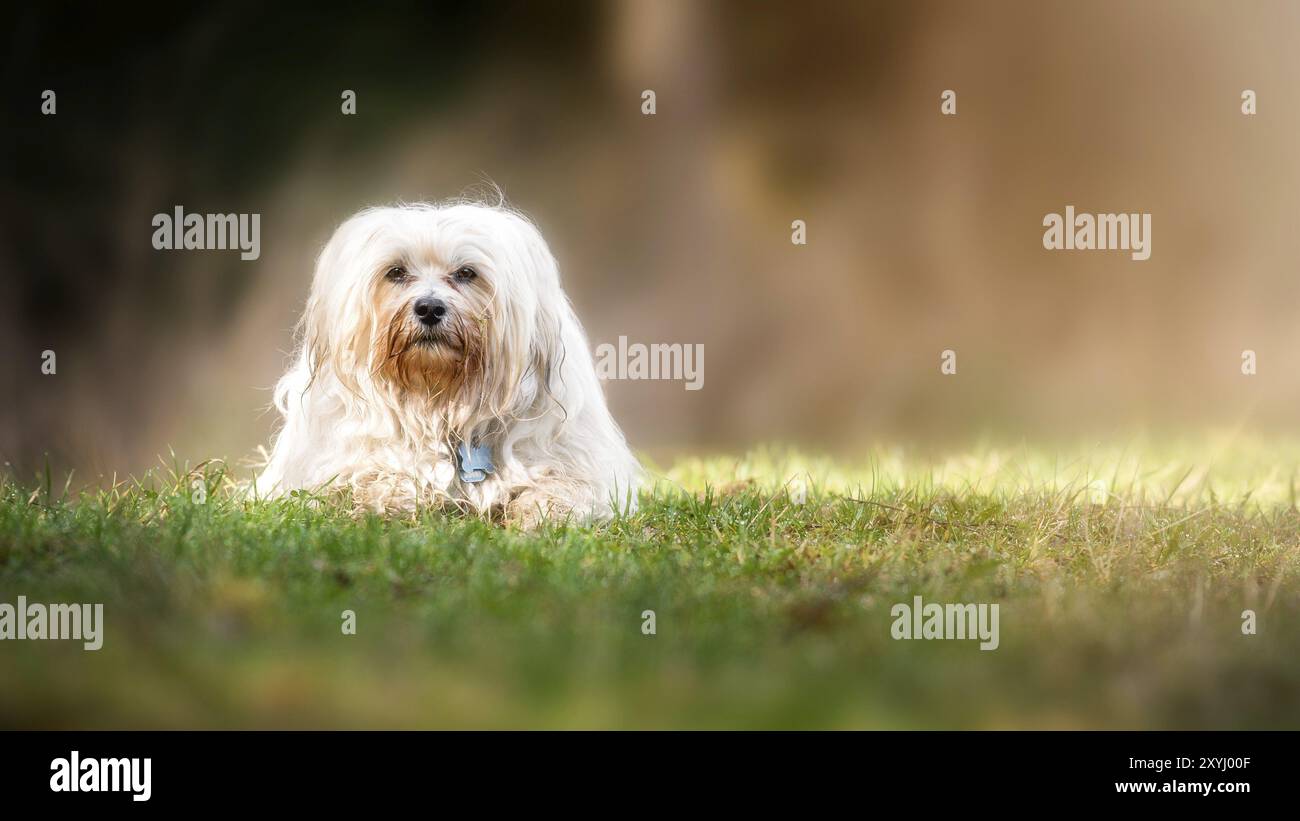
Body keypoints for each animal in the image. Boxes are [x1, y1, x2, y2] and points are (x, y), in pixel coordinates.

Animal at [254, 200, 639, 524]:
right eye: (396, 272)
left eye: (466, 273)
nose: (429, 307)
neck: (440, 399)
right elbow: (364, 476)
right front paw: (395, 495)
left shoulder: (580, 466)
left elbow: (563, 487)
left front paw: (538, 513)